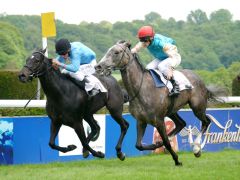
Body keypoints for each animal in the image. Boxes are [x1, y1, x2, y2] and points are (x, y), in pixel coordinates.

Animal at [94, 40, 226, 166]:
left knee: (206, 122)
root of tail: (200, 80)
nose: (98, 67)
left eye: (116, 52)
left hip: (197, 107)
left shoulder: (158, 120)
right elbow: (138, 145)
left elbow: (167, 142)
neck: (141, 89)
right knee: (181, 123)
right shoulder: (141, 120)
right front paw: (154, 145)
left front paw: (177, 160)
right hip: (172, 111)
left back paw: (196, 149)